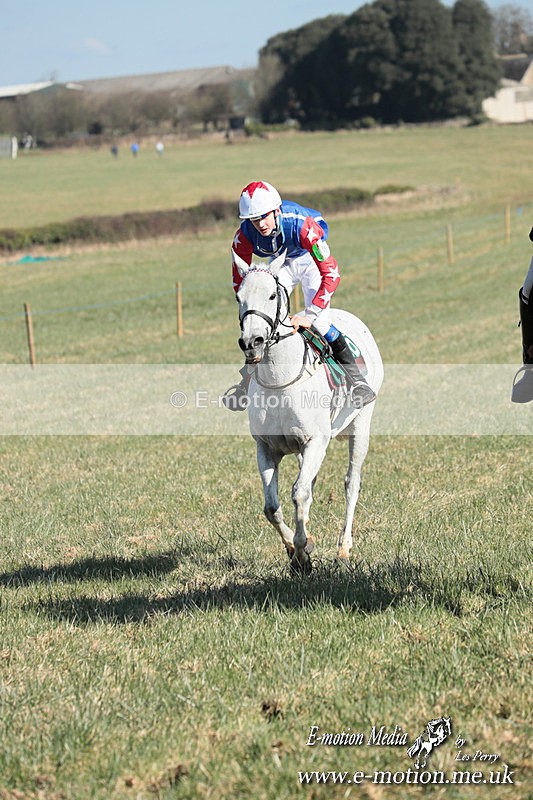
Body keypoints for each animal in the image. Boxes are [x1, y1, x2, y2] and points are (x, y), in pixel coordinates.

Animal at [233, 250, 384, 573]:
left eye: (272, 295)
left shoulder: (315, 441)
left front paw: (303, 553)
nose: (252, 342)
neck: (280, 381)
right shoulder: (266, 447)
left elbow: (299, 493)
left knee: (351, 484)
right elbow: (272, 506)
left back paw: (344, 548)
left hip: (361, 424)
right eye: (239, 296)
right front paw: (294, 547)